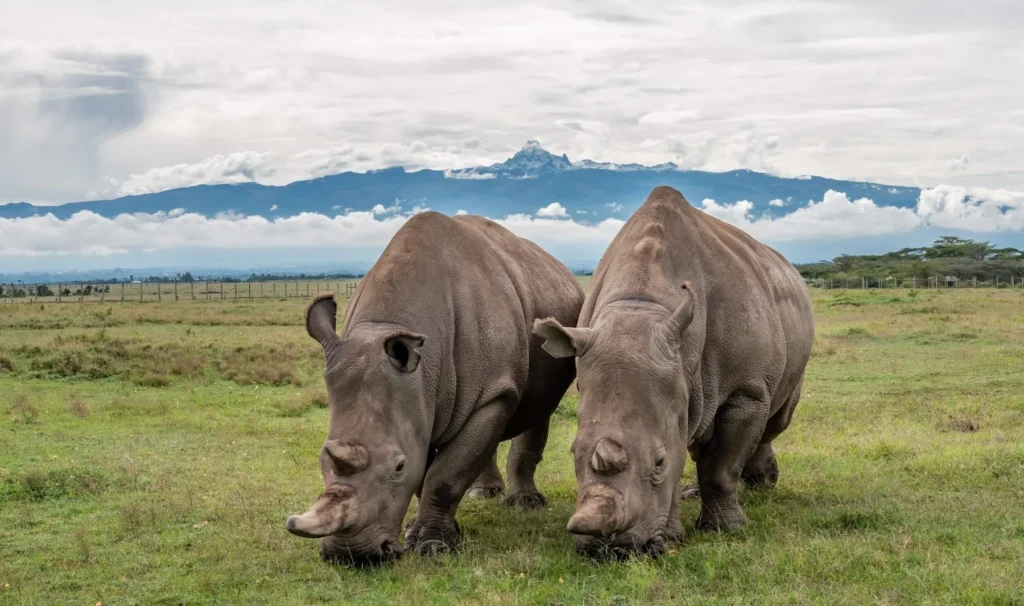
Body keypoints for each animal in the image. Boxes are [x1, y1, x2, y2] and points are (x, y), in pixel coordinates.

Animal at [286, 211, 584, 565]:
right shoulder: (417, 399)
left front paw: (433, 546)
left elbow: (444, 474)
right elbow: (428, 470)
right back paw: (483, 494)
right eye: (322, 458)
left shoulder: (491, 393)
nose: (351, 555)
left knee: (538, 410)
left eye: (398, 467)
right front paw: (419, 530)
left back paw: (526, 505)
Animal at [533, 186, 814, 558]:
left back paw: (760, 485)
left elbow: (721, 468)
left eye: (659, 461)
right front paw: (674, 537)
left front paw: (728, 529)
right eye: (573, 452)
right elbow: (686, 448)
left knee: (774, 420)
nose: (610, 549)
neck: (641, 306)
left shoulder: (746, 390)